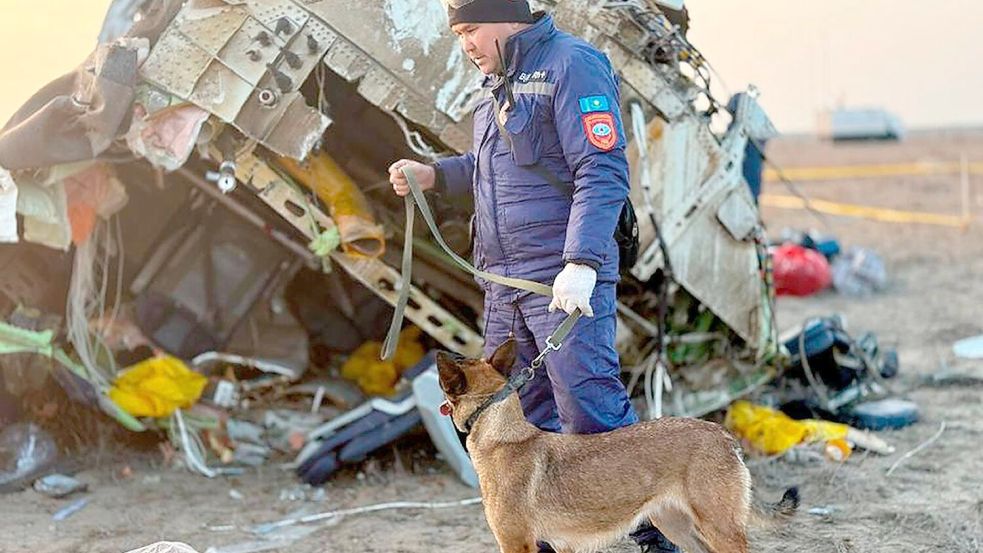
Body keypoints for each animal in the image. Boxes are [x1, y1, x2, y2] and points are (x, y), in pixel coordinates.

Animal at [438, 340, 800, 552]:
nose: (443, 352)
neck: (501, 432)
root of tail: (723, 435)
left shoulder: (516, 543)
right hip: (678, 527)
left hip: (718, 528)